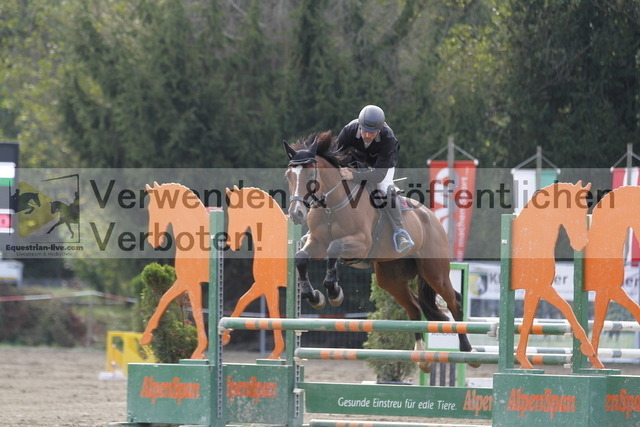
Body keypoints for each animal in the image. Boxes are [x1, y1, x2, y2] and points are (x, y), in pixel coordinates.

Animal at [139, 182, 210, 359]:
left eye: (154, 208)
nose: (153, 240)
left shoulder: (191, 283)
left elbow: (197, 313)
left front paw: (199, 351)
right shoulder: (183, 281)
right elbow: (164, 299)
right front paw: (146, 336)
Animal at [223, 186, 289, 359]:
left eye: (237, 212)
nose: (231, 243)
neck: (272, 239)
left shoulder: (268, 286)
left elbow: (274, 314)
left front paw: (276, 353)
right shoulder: (261, 285)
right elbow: (242, 301)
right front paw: (225, 336)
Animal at [283, 131, 475, 374]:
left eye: (310, 173)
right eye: (289, 174)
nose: (296, 214)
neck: (331, 207)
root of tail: (433, 219)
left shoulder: (360, 243)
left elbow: (334, 248)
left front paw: (334, 293)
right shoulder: (316, 243)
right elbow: (301, 259)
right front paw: (315, 296)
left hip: (435, 272)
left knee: (454, 301)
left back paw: (468, 350)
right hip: (390, 278)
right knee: (414, 306)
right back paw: (421, 356)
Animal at [511, 181, 603, 369]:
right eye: (570, 209)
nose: (581, 243)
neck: (532, 240)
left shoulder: (533, 291)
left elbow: (527, 322)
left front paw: (523, 362)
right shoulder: (541, 288)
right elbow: (566, 308)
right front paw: (588, 350)